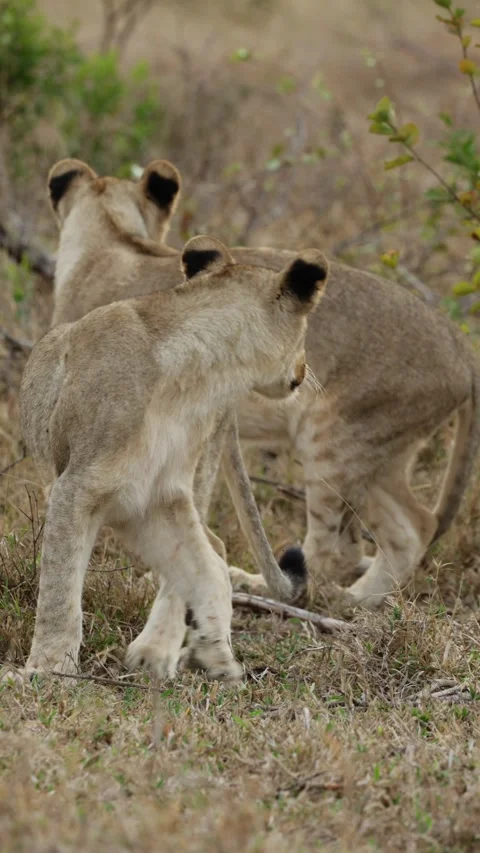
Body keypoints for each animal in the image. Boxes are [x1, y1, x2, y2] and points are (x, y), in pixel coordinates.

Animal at [20, 235, 327, 679]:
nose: (304, 370)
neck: (196, 379)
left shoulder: (158, 497)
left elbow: (204, 571)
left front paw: (213, 654)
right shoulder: (77, 488)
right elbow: (61, 588)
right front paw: (48, 671)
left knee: (214, 549)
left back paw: (158, 651)